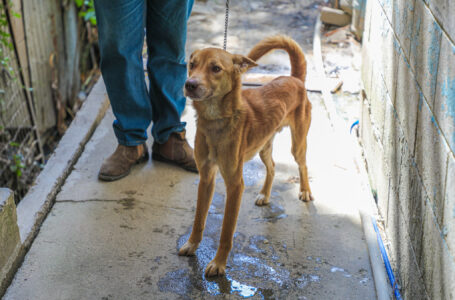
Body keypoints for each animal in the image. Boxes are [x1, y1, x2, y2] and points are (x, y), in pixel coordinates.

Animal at [179, 35, 314, 276]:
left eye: (215, 68)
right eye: (192, 65)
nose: (190, 84)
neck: (216, 121)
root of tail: (294, 79)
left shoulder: (235, 184)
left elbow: (226, 230)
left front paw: (218, 263)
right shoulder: (206, 178)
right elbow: (198, 219)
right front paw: (192, 244)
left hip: (297, 144)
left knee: (303, 165)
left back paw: (305, 191)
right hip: (263, 146)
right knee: (272, 167)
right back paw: (264, 194)